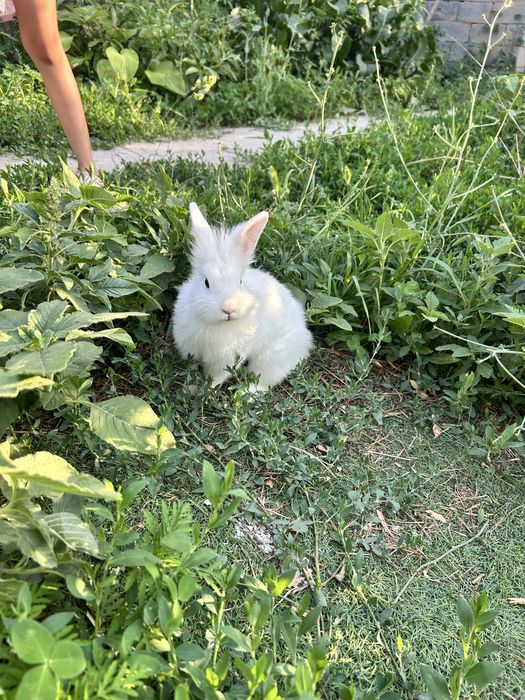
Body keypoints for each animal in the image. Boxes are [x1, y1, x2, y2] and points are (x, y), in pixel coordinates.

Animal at [172, 203, 313, 391]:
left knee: (263, 381)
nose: (228, 309)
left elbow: (216, 377)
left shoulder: (227, 361)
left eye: (240, 281)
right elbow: (192, 371)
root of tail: (304, 340)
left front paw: (206, 391)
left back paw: (244, 393)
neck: (218, 325)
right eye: (206, 282)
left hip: (270, 359)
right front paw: (189, 389)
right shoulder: (192, 353)